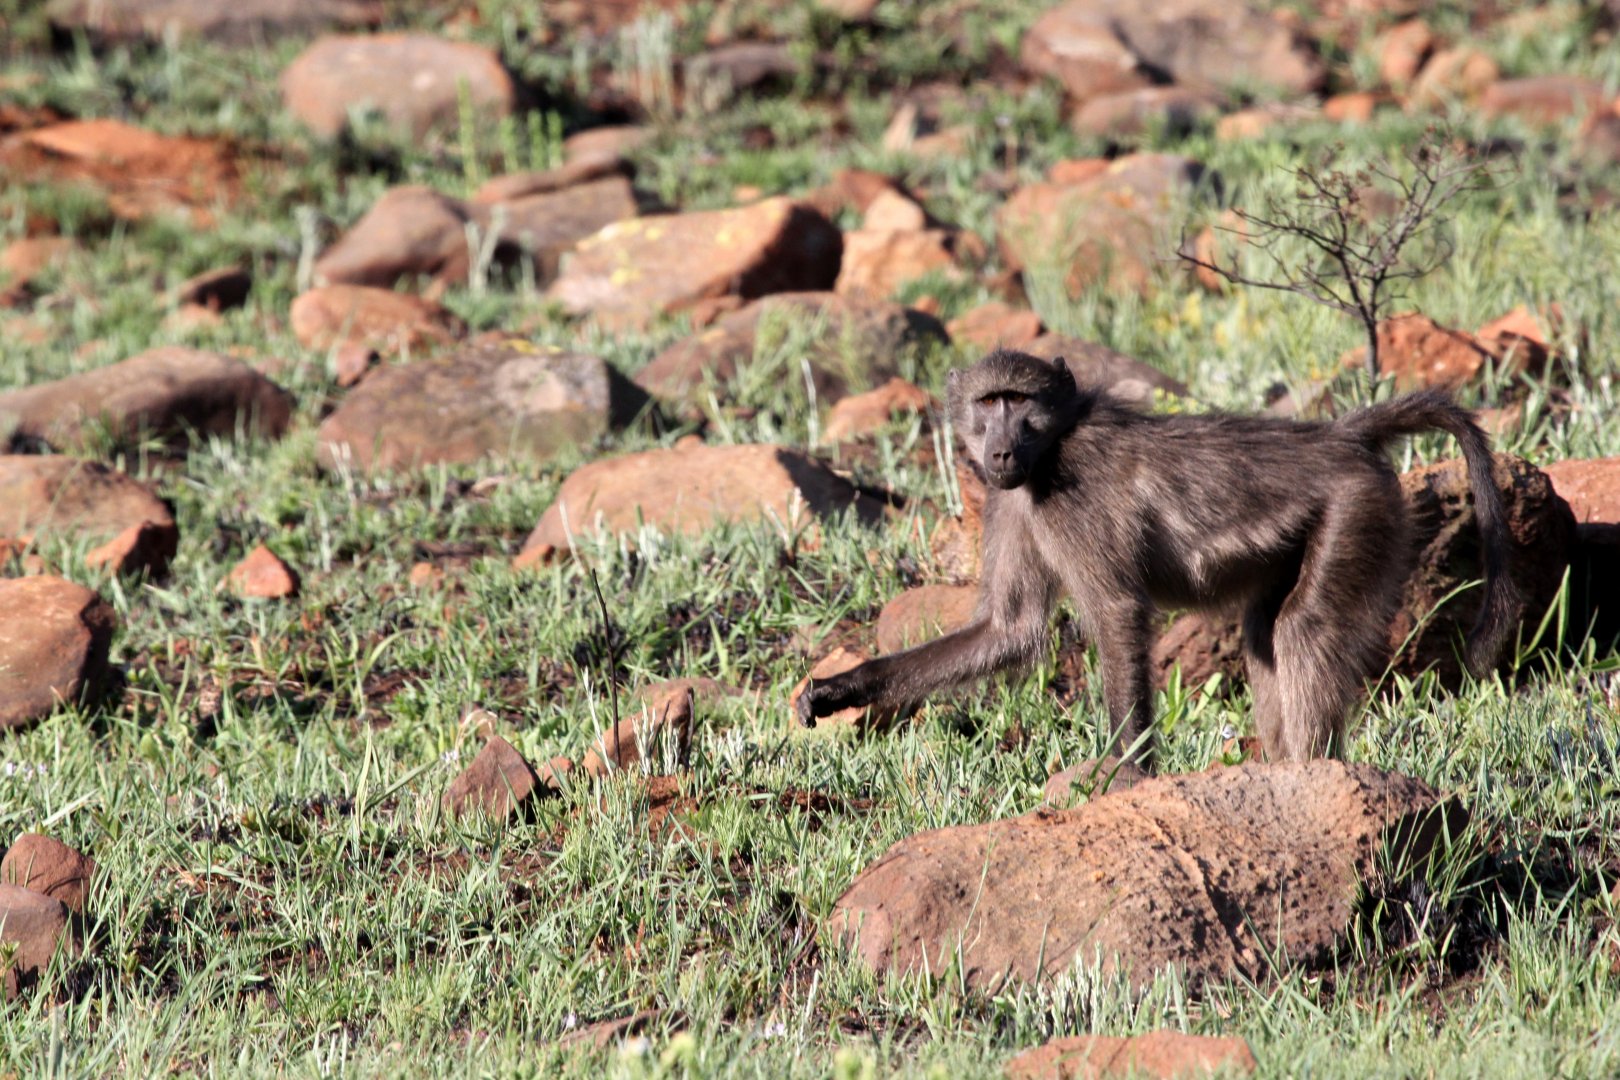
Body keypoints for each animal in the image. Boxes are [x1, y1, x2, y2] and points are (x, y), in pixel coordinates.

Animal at [796, 348, 1515, 768]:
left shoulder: (1073, 503)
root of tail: (1341, 436)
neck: (1049, 453)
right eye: (987, 403)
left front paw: (1127, 781)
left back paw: (1313, 782)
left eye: (1019, 402)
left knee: (1302, 631)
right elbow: (1008, 630)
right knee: (1265, 637)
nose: (999, 451)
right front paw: (838, 688)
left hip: (1355, 510)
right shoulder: (1010, 502)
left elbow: (1115, 613)